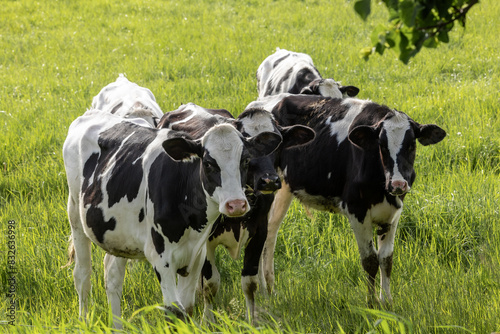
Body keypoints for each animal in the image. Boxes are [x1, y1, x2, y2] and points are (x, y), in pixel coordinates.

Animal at [62, 109, 282, 326]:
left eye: (245, 161)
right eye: (208, 163)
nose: (236, 204)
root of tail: (90, 114)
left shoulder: (196, 256)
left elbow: (188, 308)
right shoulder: (161, 257)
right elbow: (174, 311)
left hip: (119, 235)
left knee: (112, 274)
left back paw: (117, 327)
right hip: (75, 216)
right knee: (82, 275)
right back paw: (84, 321)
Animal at [157, 103, 312, 320]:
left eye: (277, 144)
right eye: (248, 148)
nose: (269, 181)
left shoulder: (259, 230)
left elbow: (250, 282)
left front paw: (252, 320)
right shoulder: (205, 237)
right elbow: (211, 284)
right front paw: (208, 320)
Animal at [262, 94, 446, 306]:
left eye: (411, 145)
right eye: (382, 146)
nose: (398, 184)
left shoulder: (394, 213)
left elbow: (386, 259)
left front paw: (387, 301)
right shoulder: (356, 209)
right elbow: (370, 260)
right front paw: (371, 303)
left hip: (283, 189)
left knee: (270, 231)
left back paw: (271, 289)